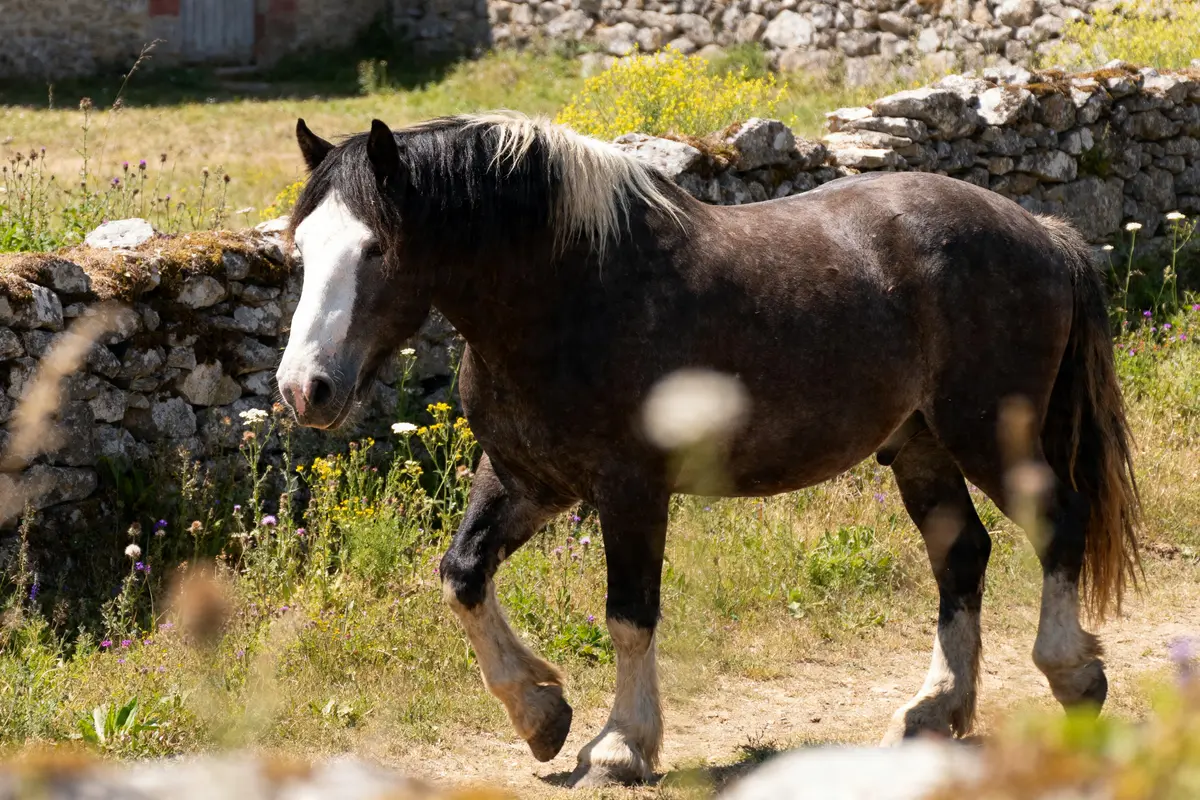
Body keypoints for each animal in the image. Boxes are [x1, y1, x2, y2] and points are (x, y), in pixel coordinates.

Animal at [275, 111, 1140, 787]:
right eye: (302, 249)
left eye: (377, 248)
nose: (304, 388)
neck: (570, 294)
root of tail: (1042, 231)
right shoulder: (526, 480)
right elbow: (461, 576)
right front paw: (541, 712)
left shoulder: (630, 489)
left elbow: (629, 614)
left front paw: (619, 747)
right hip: (920, 446)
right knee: (962, 555)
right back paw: (933, 710)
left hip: (988, 434)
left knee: (1058, 525)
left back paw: (1074, 676)